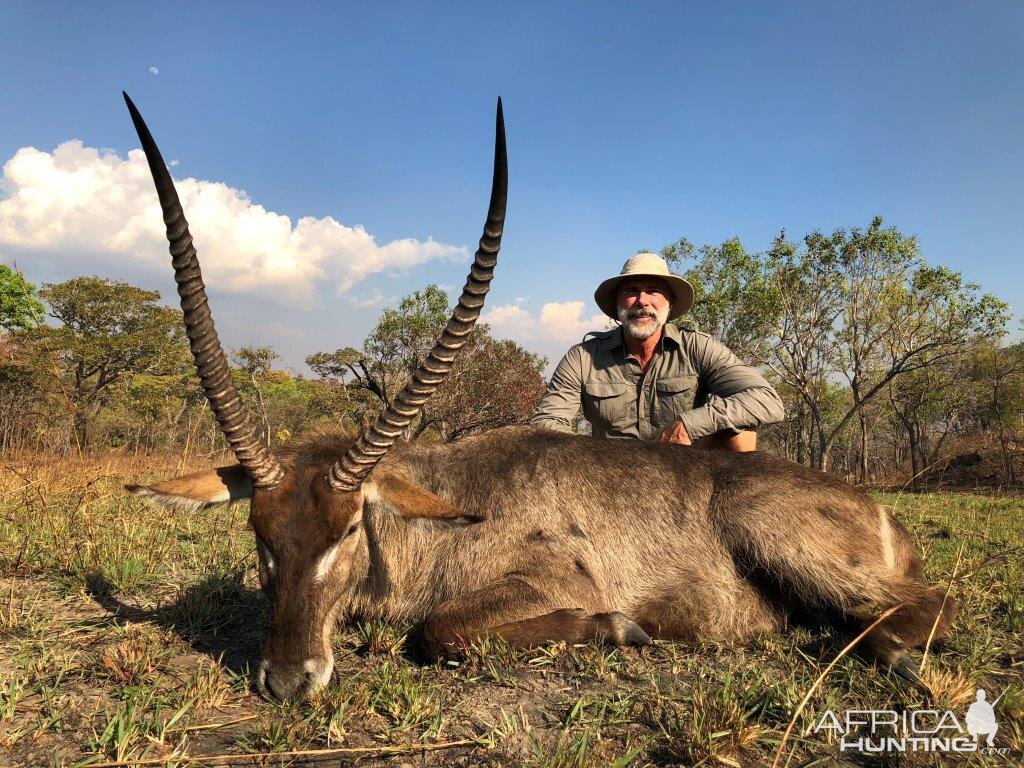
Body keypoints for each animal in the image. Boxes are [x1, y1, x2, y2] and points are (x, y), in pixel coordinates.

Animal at [123, 94, 954, 704]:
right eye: (259, 533)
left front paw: (621, 627)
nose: (289, 681)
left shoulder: (554, 578)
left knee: (925, 603)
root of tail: (882, 513)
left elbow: (439, 631)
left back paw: (892, 657)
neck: (445, 516)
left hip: (766, 525)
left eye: (349, 529)